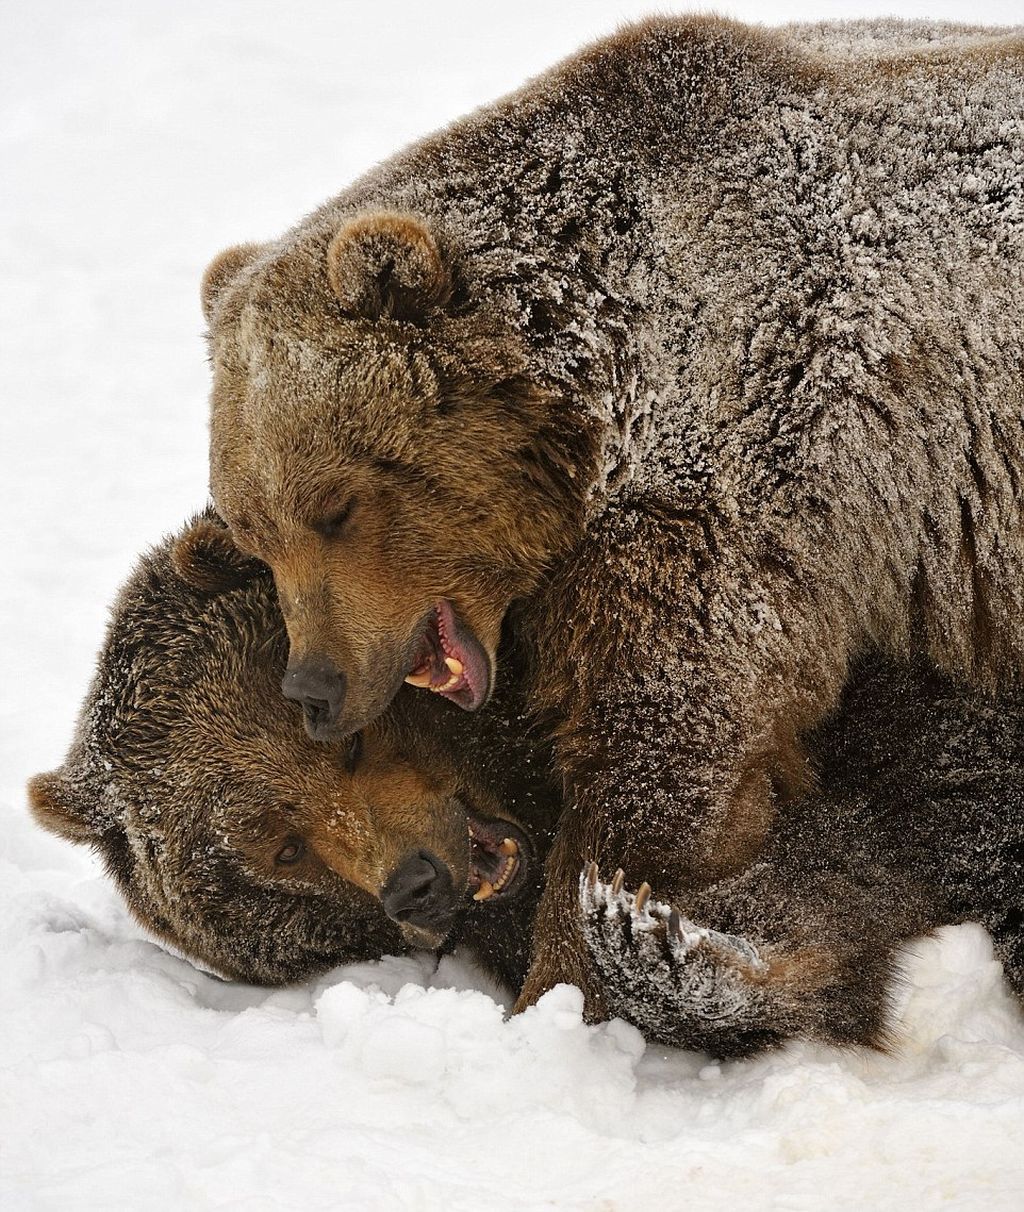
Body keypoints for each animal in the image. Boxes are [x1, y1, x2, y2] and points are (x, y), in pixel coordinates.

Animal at [201, 18, 1022, 1013]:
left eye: (334, 505)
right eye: (254, 533)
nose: (313, 688)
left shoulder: (738, 472)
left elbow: (658, 753)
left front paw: (577, 966)